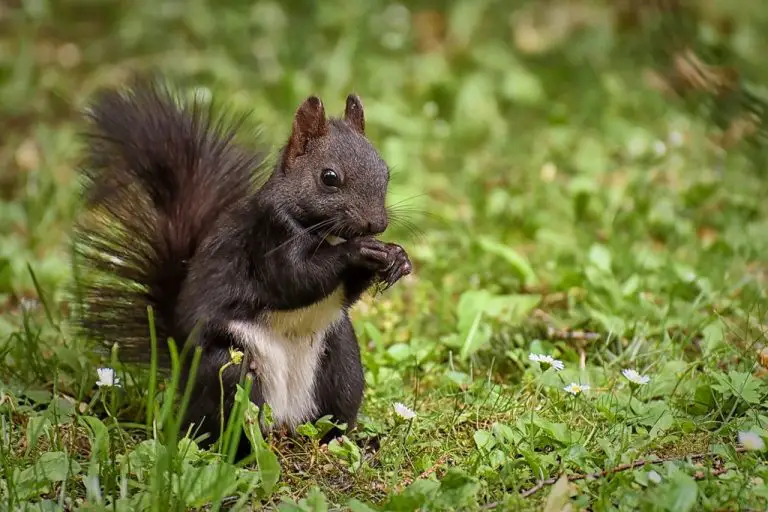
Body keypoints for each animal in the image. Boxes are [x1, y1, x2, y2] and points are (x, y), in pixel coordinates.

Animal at [72, 76, 412, 456]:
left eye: (385, 171)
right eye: (329, 177)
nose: (376, 224)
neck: (322, 231)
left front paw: (397, 257)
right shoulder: (267, 235)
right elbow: (294, 280)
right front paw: (358, 250)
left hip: (342, 364)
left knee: (329, 417)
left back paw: (349, 443)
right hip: (230, 370)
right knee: (225, 423)